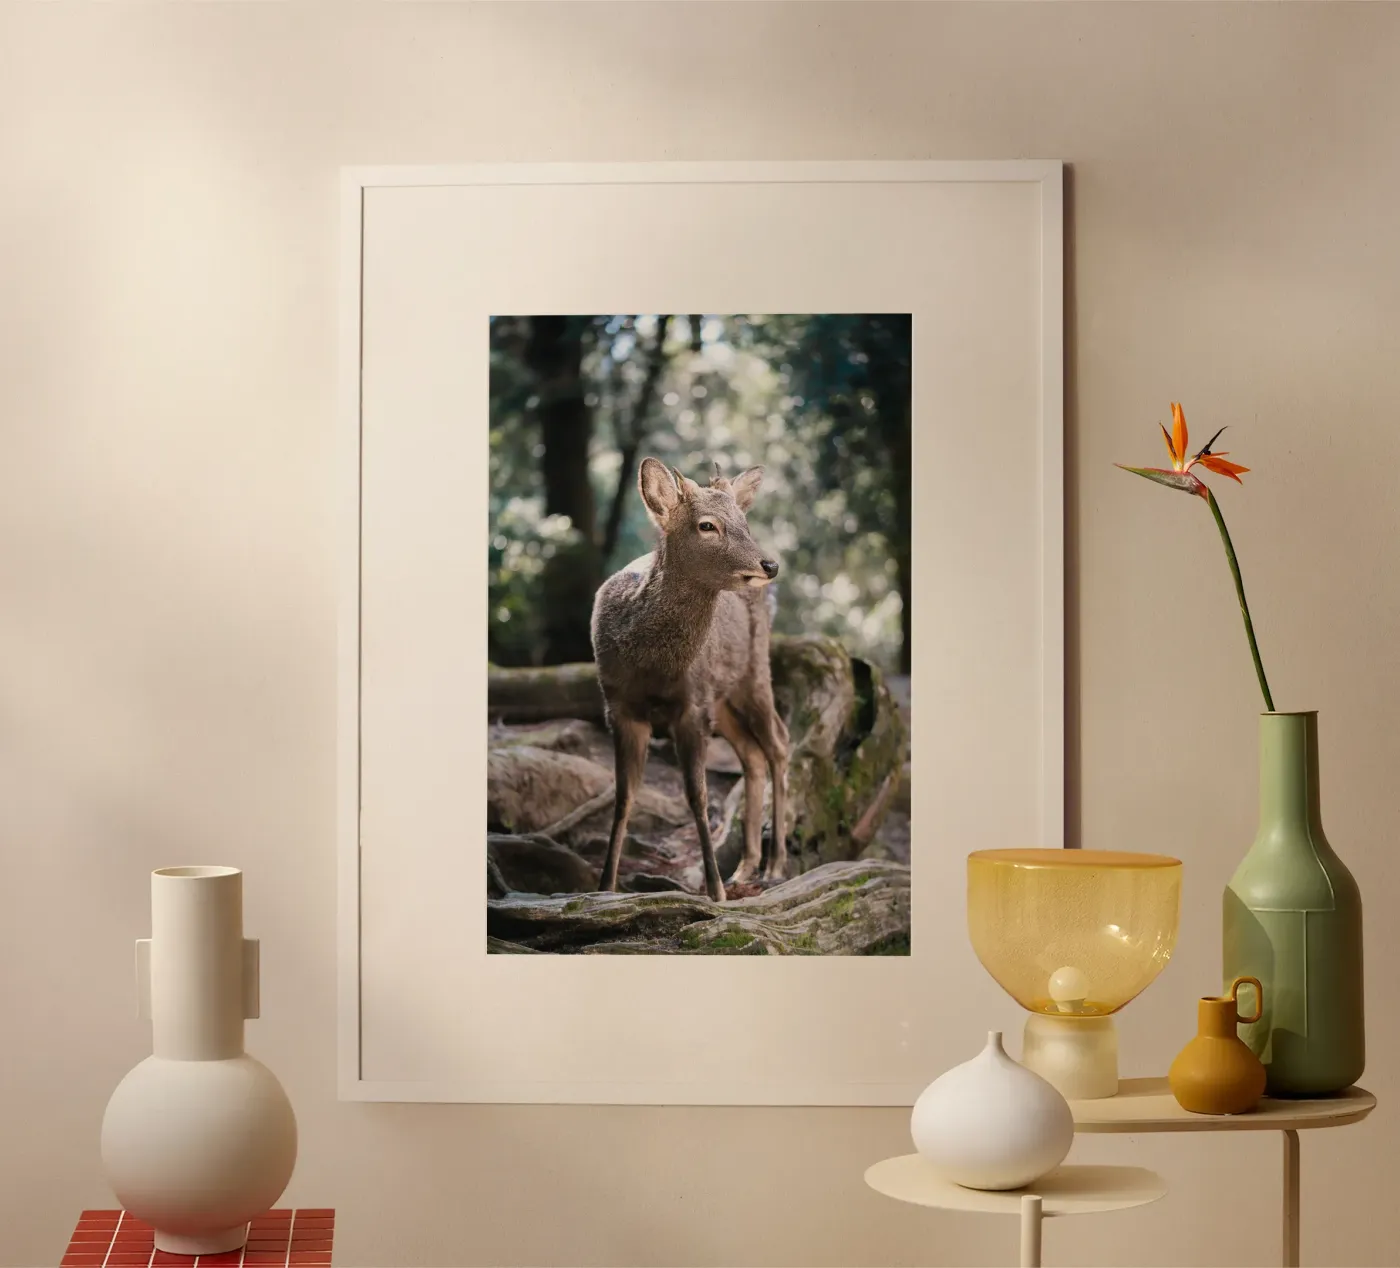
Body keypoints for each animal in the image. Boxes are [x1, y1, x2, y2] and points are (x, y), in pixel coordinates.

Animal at [590, 456, 790, 903]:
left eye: (744, 522)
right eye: (707, 525)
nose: (769, 564)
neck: (655, 667)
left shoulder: (693, 705)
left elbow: (697, 795)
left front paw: (713, 891)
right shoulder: (617, 705)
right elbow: (623, 796)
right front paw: (605, 886)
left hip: (754, 671)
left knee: (779, 743)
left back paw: (774, 864)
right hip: (723, 696)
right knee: (752, 753)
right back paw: (746, 866)